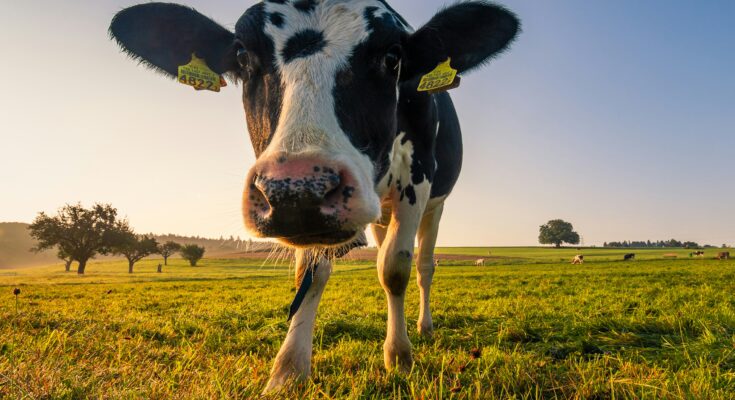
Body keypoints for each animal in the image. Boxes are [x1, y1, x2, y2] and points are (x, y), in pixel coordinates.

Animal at [109, 0, 519, 393]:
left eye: (392, 57)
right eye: (242, 55)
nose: (297, 188)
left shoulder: (417, 180)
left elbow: (395, 269)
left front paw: (399, 357)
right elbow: (311, 273)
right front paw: (288, 370)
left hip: (436, 205)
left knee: (423, 266)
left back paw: (424, 325)